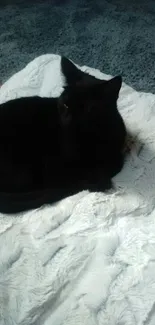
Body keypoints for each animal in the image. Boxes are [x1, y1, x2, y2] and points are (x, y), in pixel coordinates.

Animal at [0, 56, 126, 213]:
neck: (92, 137)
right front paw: (97, 180)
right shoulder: (55, 168)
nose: (69, 119)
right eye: (66, 105)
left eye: (87, 109)